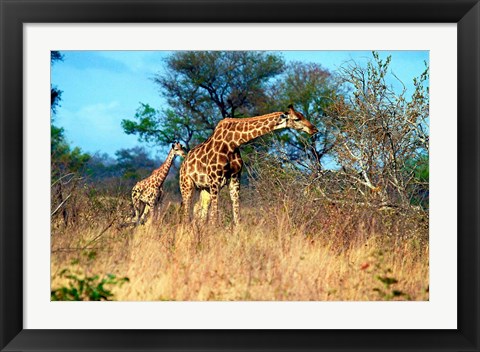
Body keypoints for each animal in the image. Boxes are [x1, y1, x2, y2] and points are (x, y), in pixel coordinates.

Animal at [180, 105, 318, 226]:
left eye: (302, 115)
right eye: (296, 119)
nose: (314, 129)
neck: (233, 142)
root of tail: (183, 164)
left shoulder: (235, 178)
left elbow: (237, 214)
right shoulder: (215, 180)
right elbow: (215, 215)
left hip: (204, 188)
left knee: (199, 210)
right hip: (187, 185)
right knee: (187, 211)